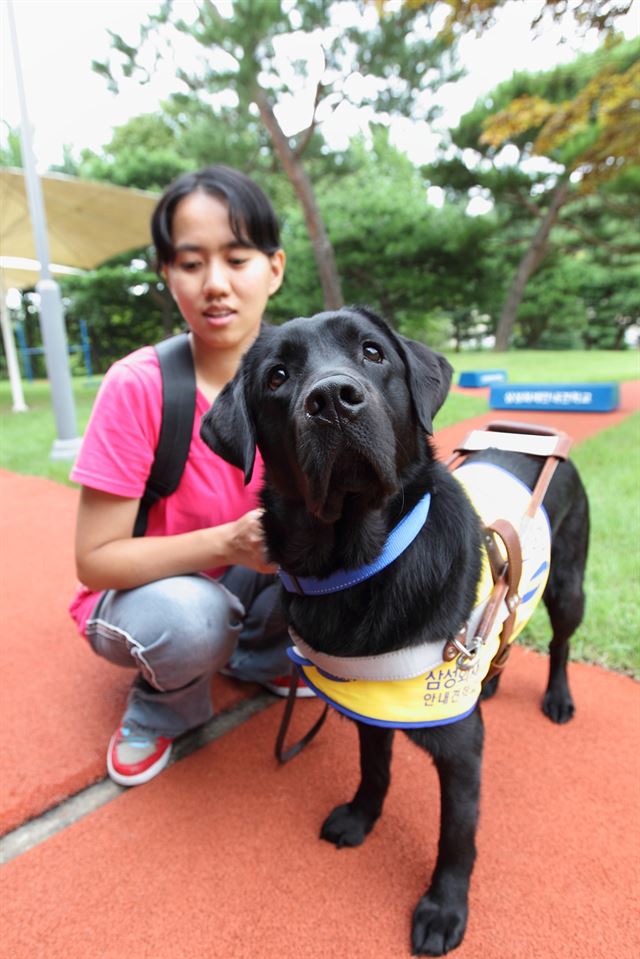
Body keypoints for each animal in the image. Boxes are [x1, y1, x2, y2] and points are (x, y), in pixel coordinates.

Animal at [201, 306, 592, 952]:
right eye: (277, 376)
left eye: (372, 352)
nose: (332, 399)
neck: (360, 564)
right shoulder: (370, 702)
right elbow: (374, 766)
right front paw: (362, 816)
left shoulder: (462, 750)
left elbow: (457, 833)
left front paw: (443, 908)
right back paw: (489, 681)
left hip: (569, 585)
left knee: (559, 644)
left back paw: (558, 698)